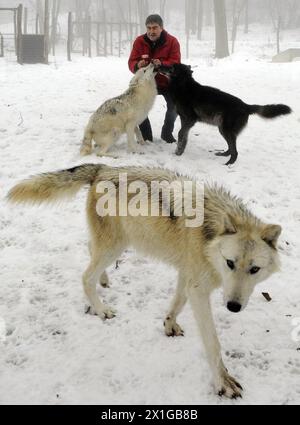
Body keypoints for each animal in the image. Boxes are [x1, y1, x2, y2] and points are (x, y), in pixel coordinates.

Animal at [7, 162, 282, 398]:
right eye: (230, 263)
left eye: (254, 269)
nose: (233, 307)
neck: (209, 237)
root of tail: (103, 169)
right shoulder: (199, 289)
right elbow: (213, 344)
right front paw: (223, 384)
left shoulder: (187, 275)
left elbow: (177, 303)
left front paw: (169, 325)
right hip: (115, 247)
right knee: (85, 276)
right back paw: (101, 309)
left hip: (115, 245)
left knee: (90, 250)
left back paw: (104, 280)